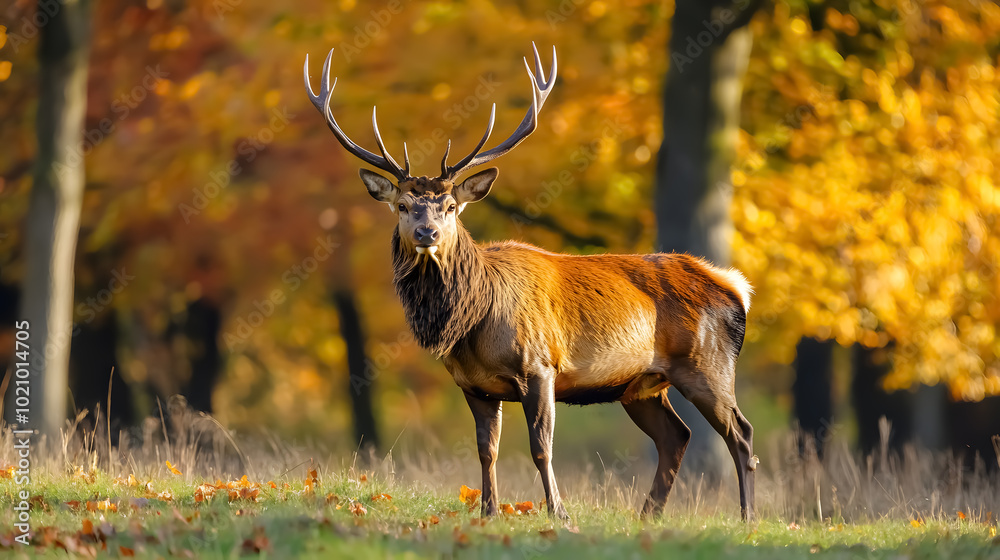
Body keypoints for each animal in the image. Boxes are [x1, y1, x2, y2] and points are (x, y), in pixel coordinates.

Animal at [304, 45, 759, 521]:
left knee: (741, 434)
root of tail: (734, 286)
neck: (472, 322)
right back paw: (647, 516)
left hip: (707, 363)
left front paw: (558, 512)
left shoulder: (540, 366)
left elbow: (541, 447)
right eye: (403, 205)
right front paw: (488, 511)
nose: (427, 233)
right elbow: (487, 451)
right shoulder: (474, 385)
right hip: (641, 385)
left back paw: (747, 518)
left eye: (450, 206)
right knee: (677, 436)